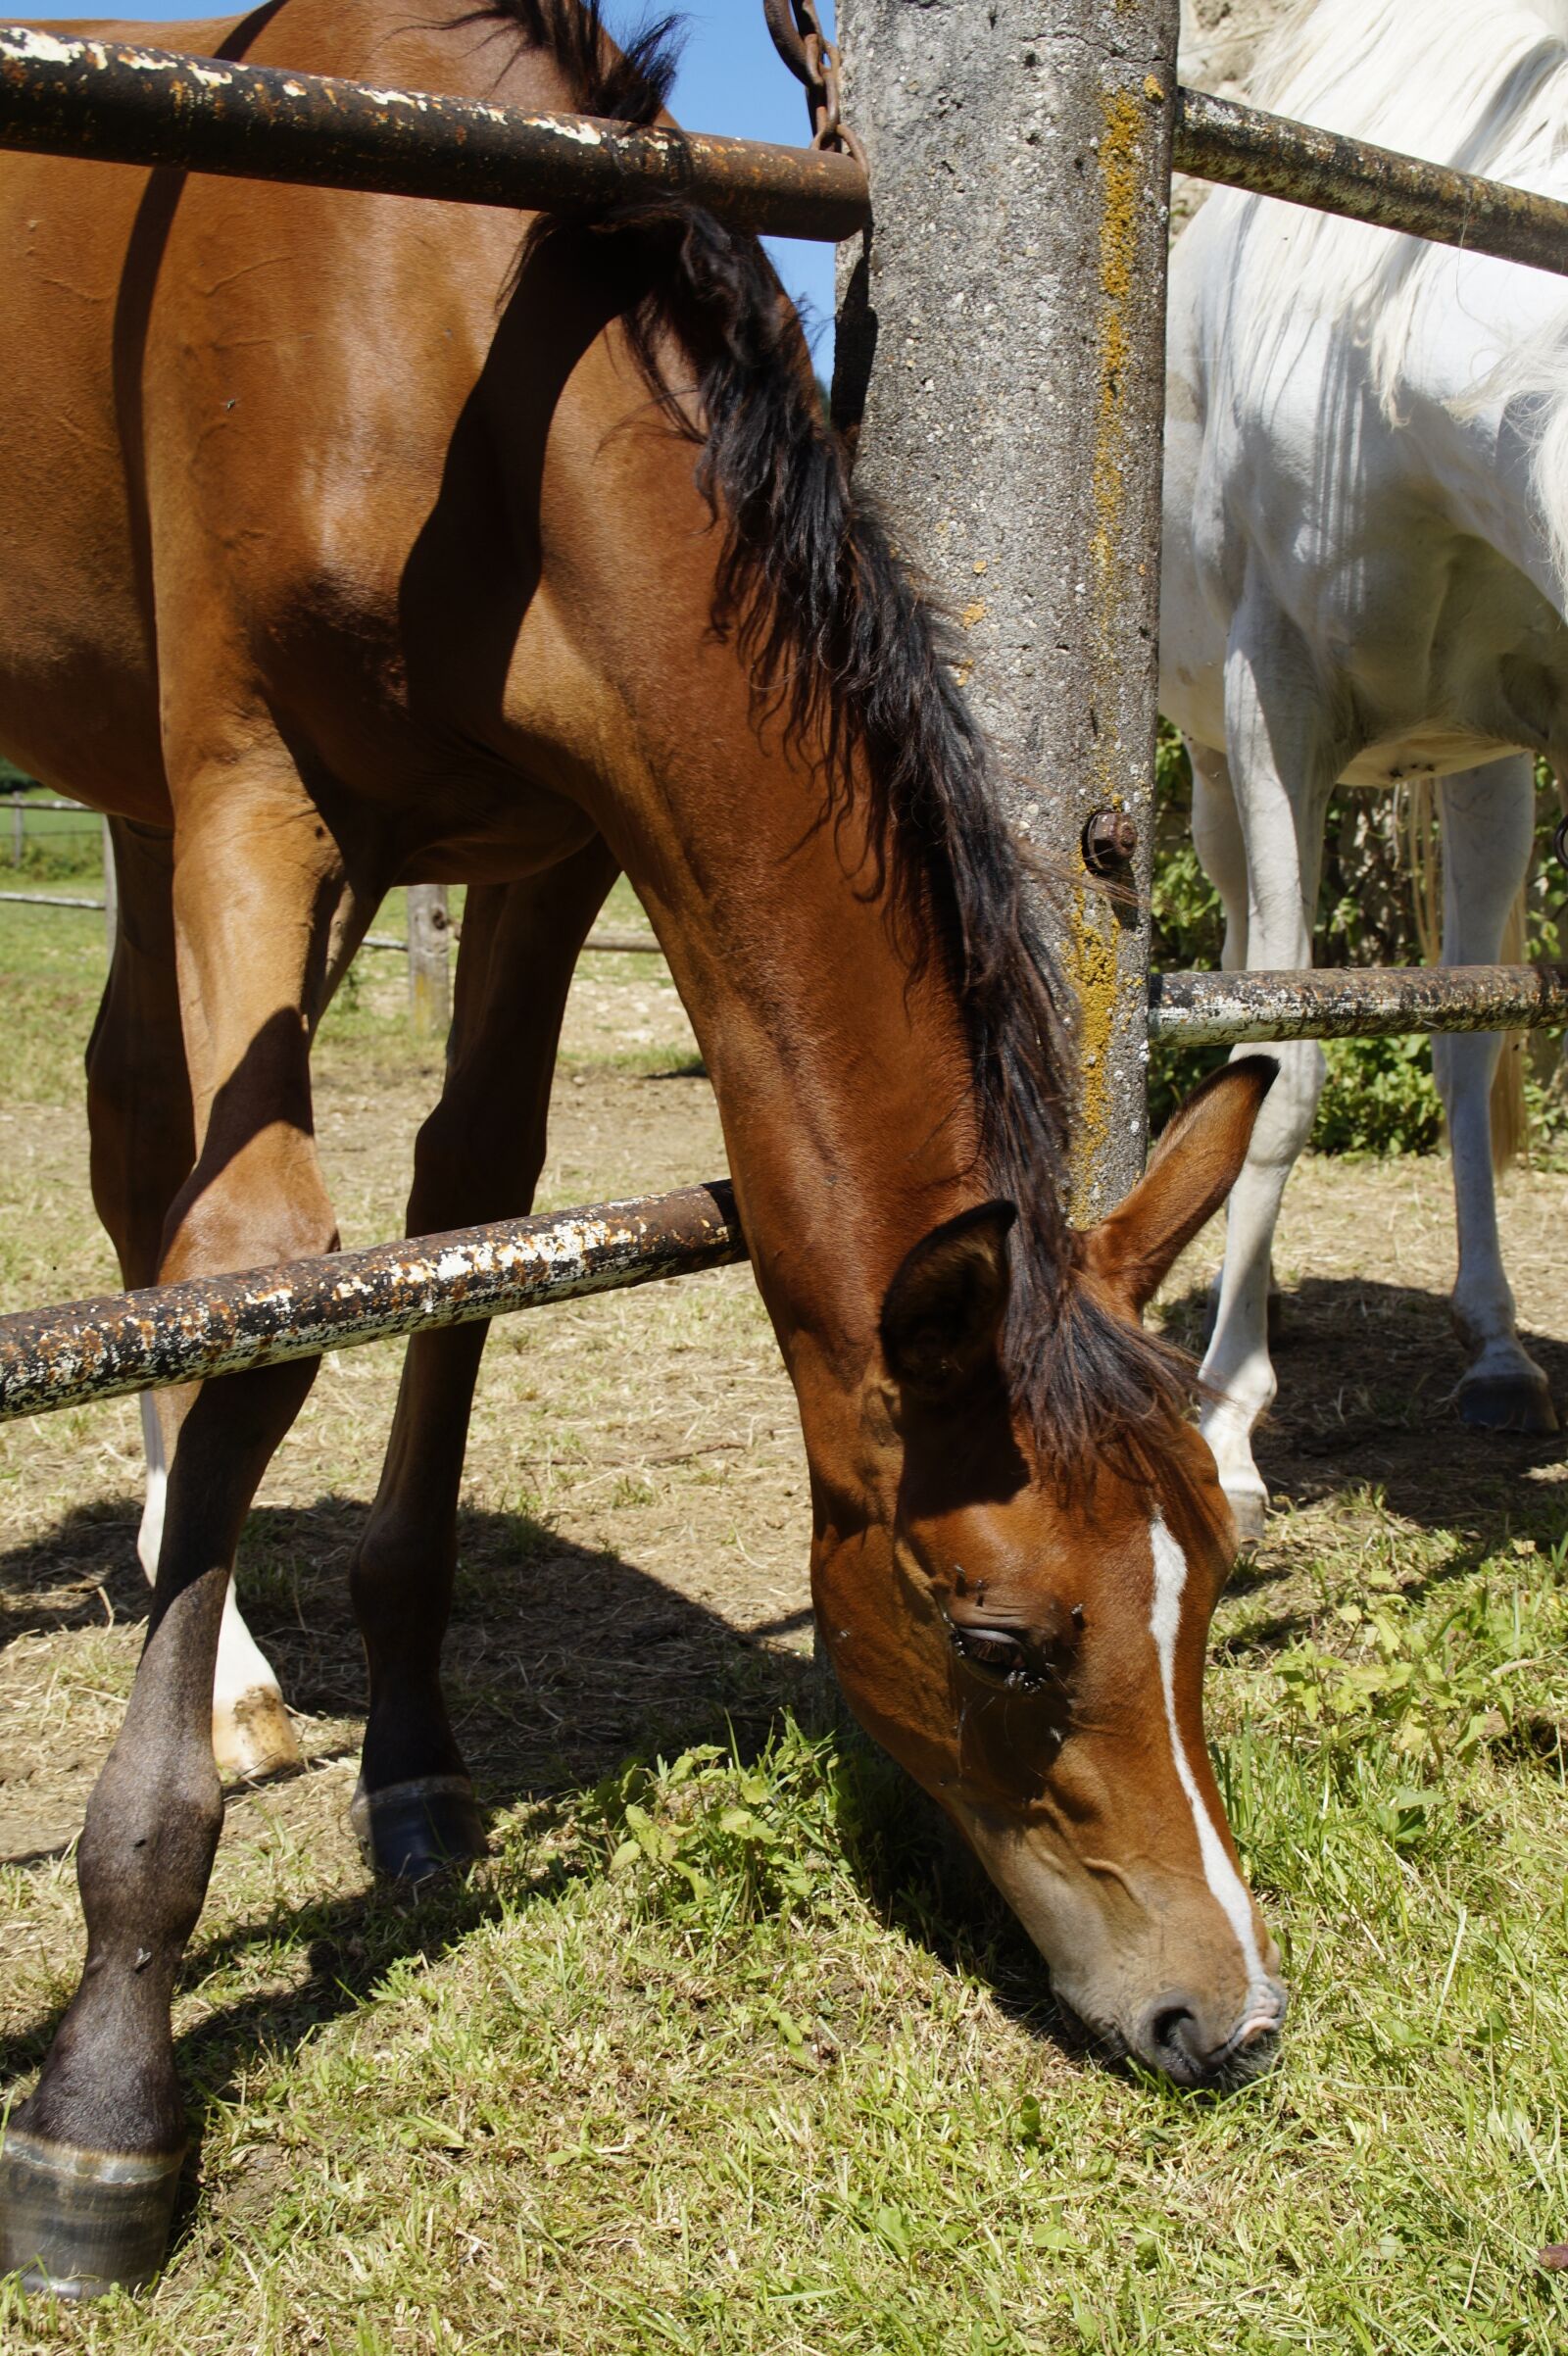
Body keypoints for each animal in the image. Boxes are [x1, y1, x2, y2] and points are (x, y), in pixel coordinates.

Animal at [0, 1, 1283, 2296]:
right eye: (995, 1634)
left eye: (1211, 1570)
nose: (1222, 2012)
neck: (458, 315)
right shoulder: (251, 782)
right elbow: (269, 1264)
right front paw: (109, 2082)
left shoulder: (551, 844)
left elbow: (465, 1214)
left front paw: (414, 1760)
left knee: (135, 1138)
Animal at [1160, 0, 1568, 1538]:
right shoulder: (1278, 706)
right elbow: (1281, 1063)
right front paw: (1225, 1425)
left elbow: (1467, 1038)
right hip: (1217, 766)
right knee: (1233, 981)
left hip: (1477, 772)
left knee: (1457, 1041)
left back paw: (1494, 1348)